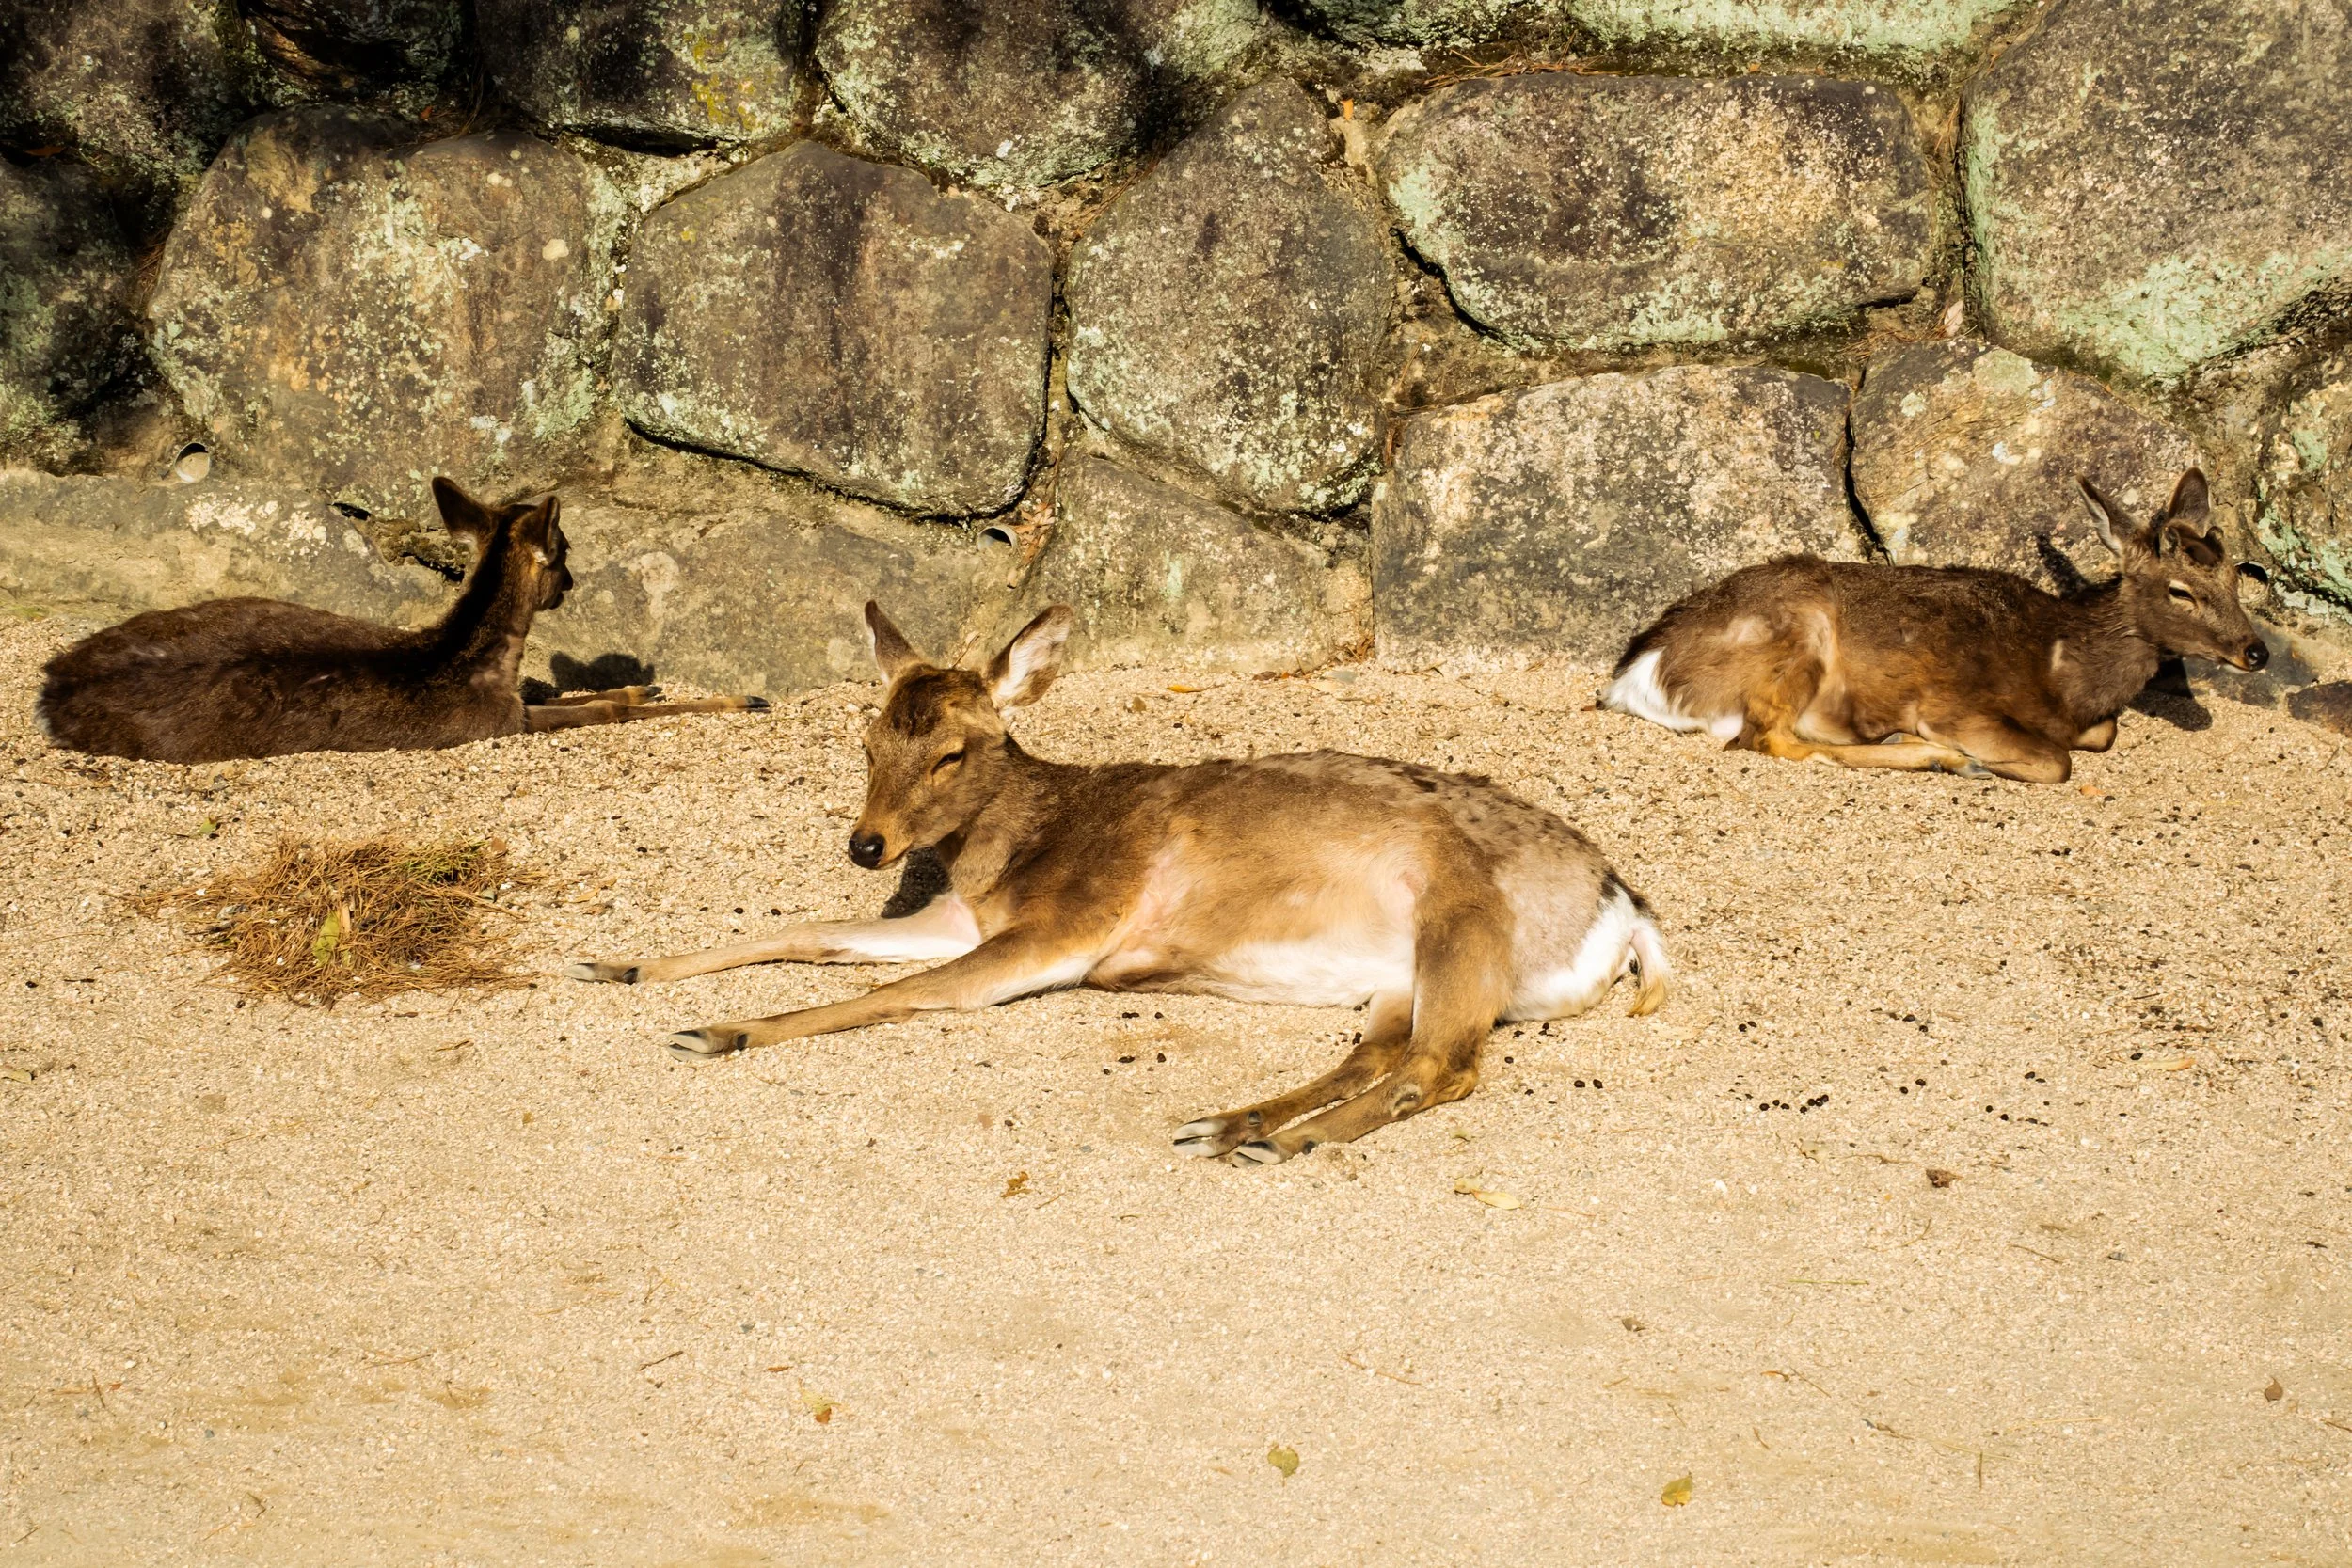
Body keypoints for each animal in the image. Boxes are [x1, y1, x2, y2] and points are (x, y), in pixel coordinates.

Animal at [36, 477, 766, 764]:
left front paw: (646, 682)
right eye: (565, 549)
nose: (571, 584)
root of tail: (48, 688)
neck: (473, 661)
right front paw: (743, 699)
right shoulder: (498, 721)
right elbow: (605, 711)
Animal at [566, 602, 1671, 1164]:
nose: (866, 845)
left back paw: (1283, 1143)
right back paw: (1230, 1126)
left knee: (1441, 1066)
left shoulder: (1070, 921)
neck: (1016, 852)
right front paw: (615, 965)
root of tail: (1627, 912)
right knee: (1382, 1053)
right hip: (1400, 974)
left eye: (953, 753)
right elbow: (809, 929)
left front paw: (717, 1030)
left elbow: (902, 991)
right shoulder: (963, 915)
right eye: (869, 737)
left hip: (1465, 924)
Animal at [1601, 469, 2270, 784]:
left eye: (2238, 576)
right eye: (2181, 590)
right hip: (1797, 636)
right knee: (1774, 739)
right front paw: (1976, 757)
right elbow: (2058, 761)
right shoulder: (1959, 706)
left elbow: (2102, 734)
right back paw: (1936, 756)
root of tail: (1634, 681)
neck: (2060, 669)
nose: (2257, 652)